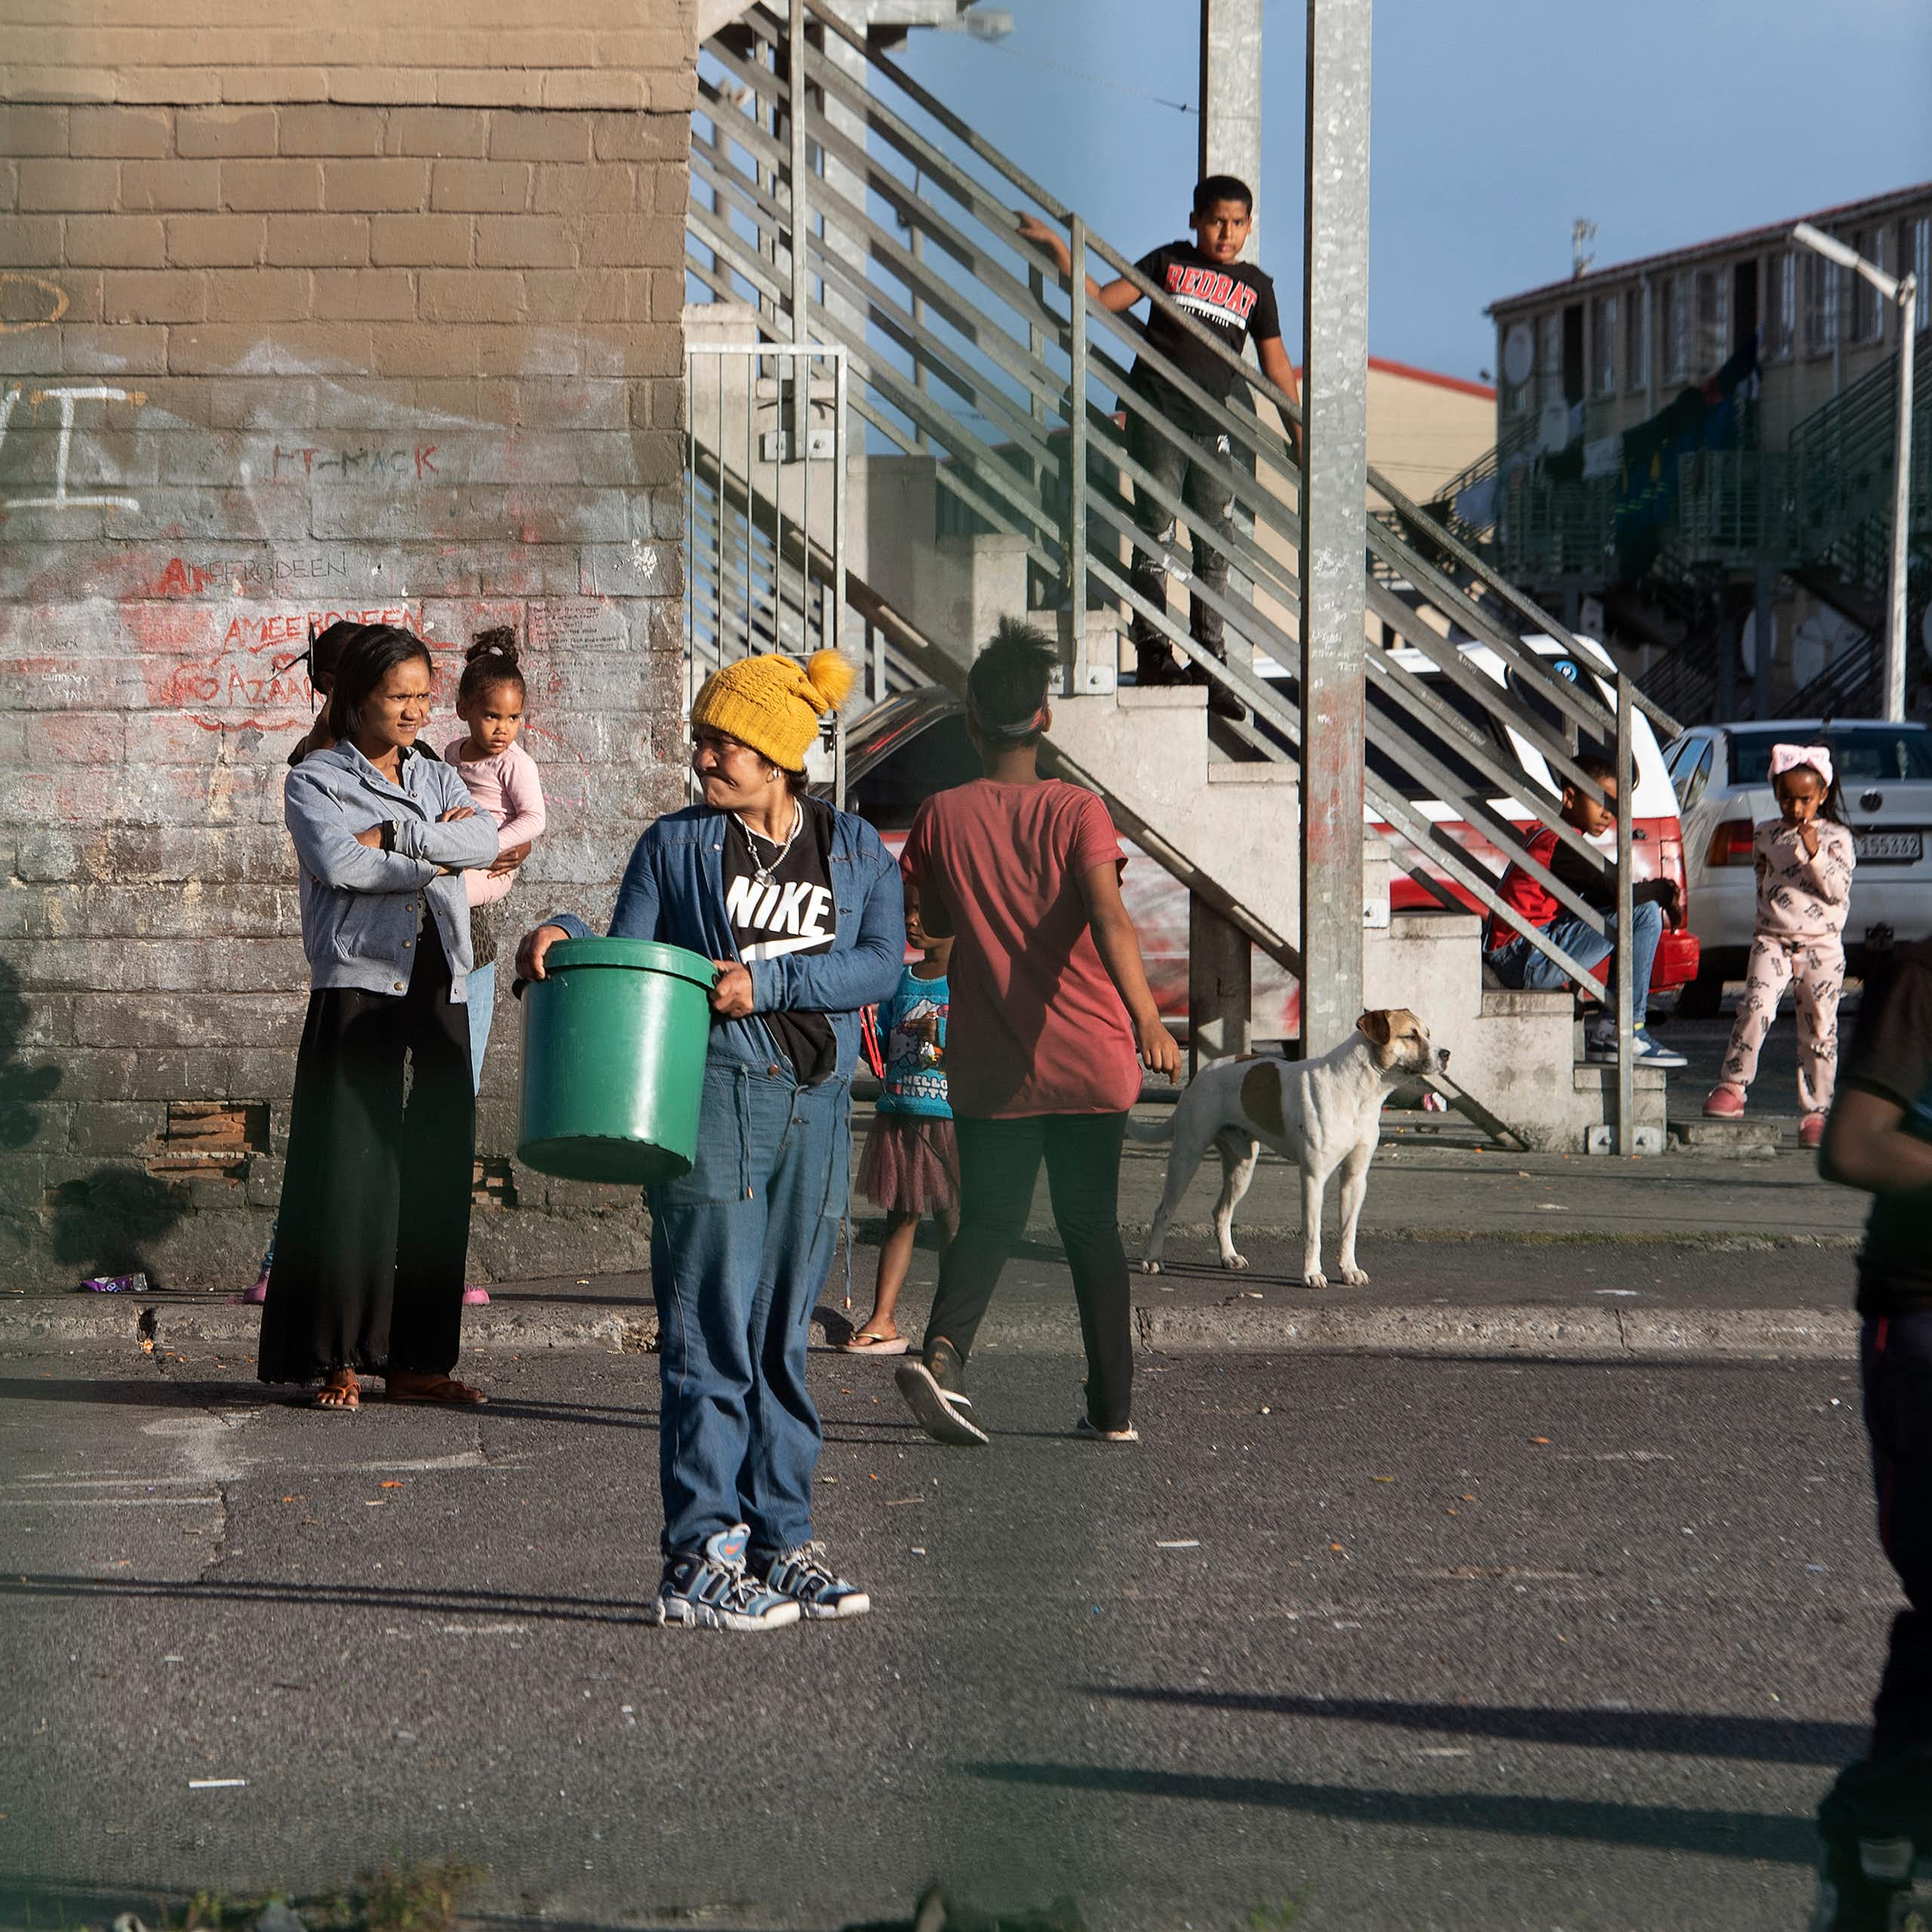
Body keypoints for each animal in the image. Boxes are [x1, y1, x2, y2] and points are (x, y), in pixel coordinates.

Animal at [1128, 1012, 1453, 1282]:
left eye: (1427, 1033)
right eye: (1410, 1036)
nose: (1446, 1053)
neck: (1359, 1092)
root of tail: (1197, 1077)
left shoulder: (1355, 1179)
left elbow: (1349, 1231)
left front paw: (1349, 1270)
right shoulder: (1314, 1178)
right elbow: (1313, 1233)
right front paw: (1312, 1274)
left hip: (1243, 1168)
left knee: (1221, 1212)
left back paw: (1229, 1257)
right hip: (1186, 1157)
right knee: (1163, 1211)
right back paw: (1152, 1260)